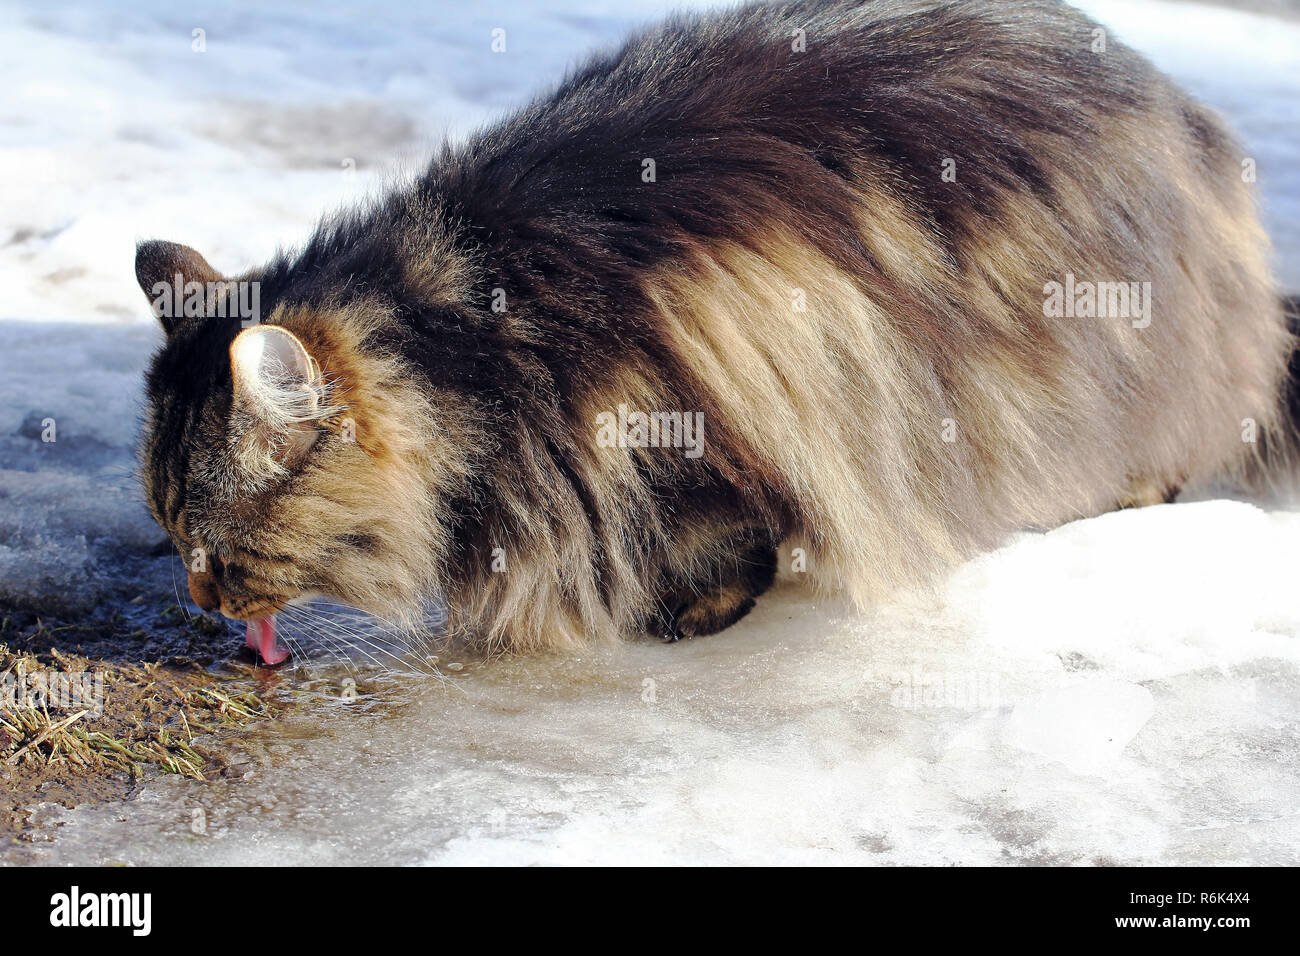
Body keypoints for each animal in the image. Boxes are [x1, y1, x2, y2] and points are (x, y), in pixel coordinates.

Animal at [137, 0, 1294, 665]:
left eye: (218, 547)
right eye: (169, 531)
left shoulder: (690, 415)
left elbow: (712, 535)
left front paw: (689, 612)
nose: (198, 595)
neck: (468, 334)